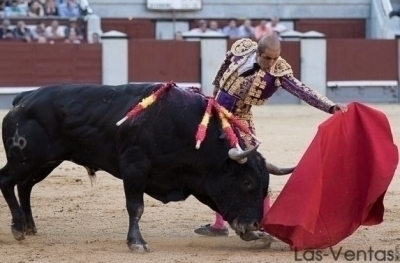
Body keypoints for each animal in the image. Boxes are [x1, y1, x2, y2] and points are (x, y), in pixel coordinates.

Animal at [0, 83, 294, 254]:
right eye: (247, 182)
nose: (254, 223)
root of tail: (22, 99)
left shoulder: (198, 180)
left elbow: (218, 204)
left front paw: (257, 236)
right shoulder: (134, 168)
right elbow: (136, 207)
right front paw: (137, 242)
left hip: (44, 162)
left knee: (24, 186)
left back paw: (29, 226)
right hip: (25, 159)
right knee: (6, 181)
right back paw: (17, 227)